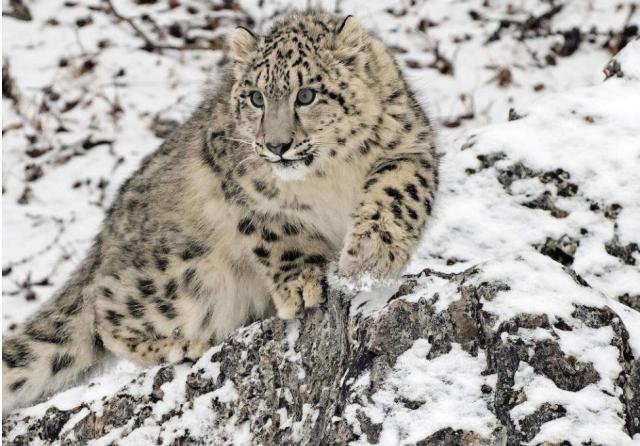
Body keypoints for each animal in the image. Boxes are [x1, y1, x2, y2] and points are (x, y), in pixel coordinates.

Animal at [1, 11, 436, 412]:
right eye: (257, 98)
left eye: (307, 94)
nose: (276, 145)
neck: (326, 175)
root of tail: (105, 237)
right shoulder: (242, 188)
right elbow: (279, 233)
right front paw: (302, 287)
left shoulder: (408, 150)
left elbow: (397, 196)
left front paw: (368, 260)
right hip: (180, 277)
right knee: (105, 311)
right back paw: (181, 344)